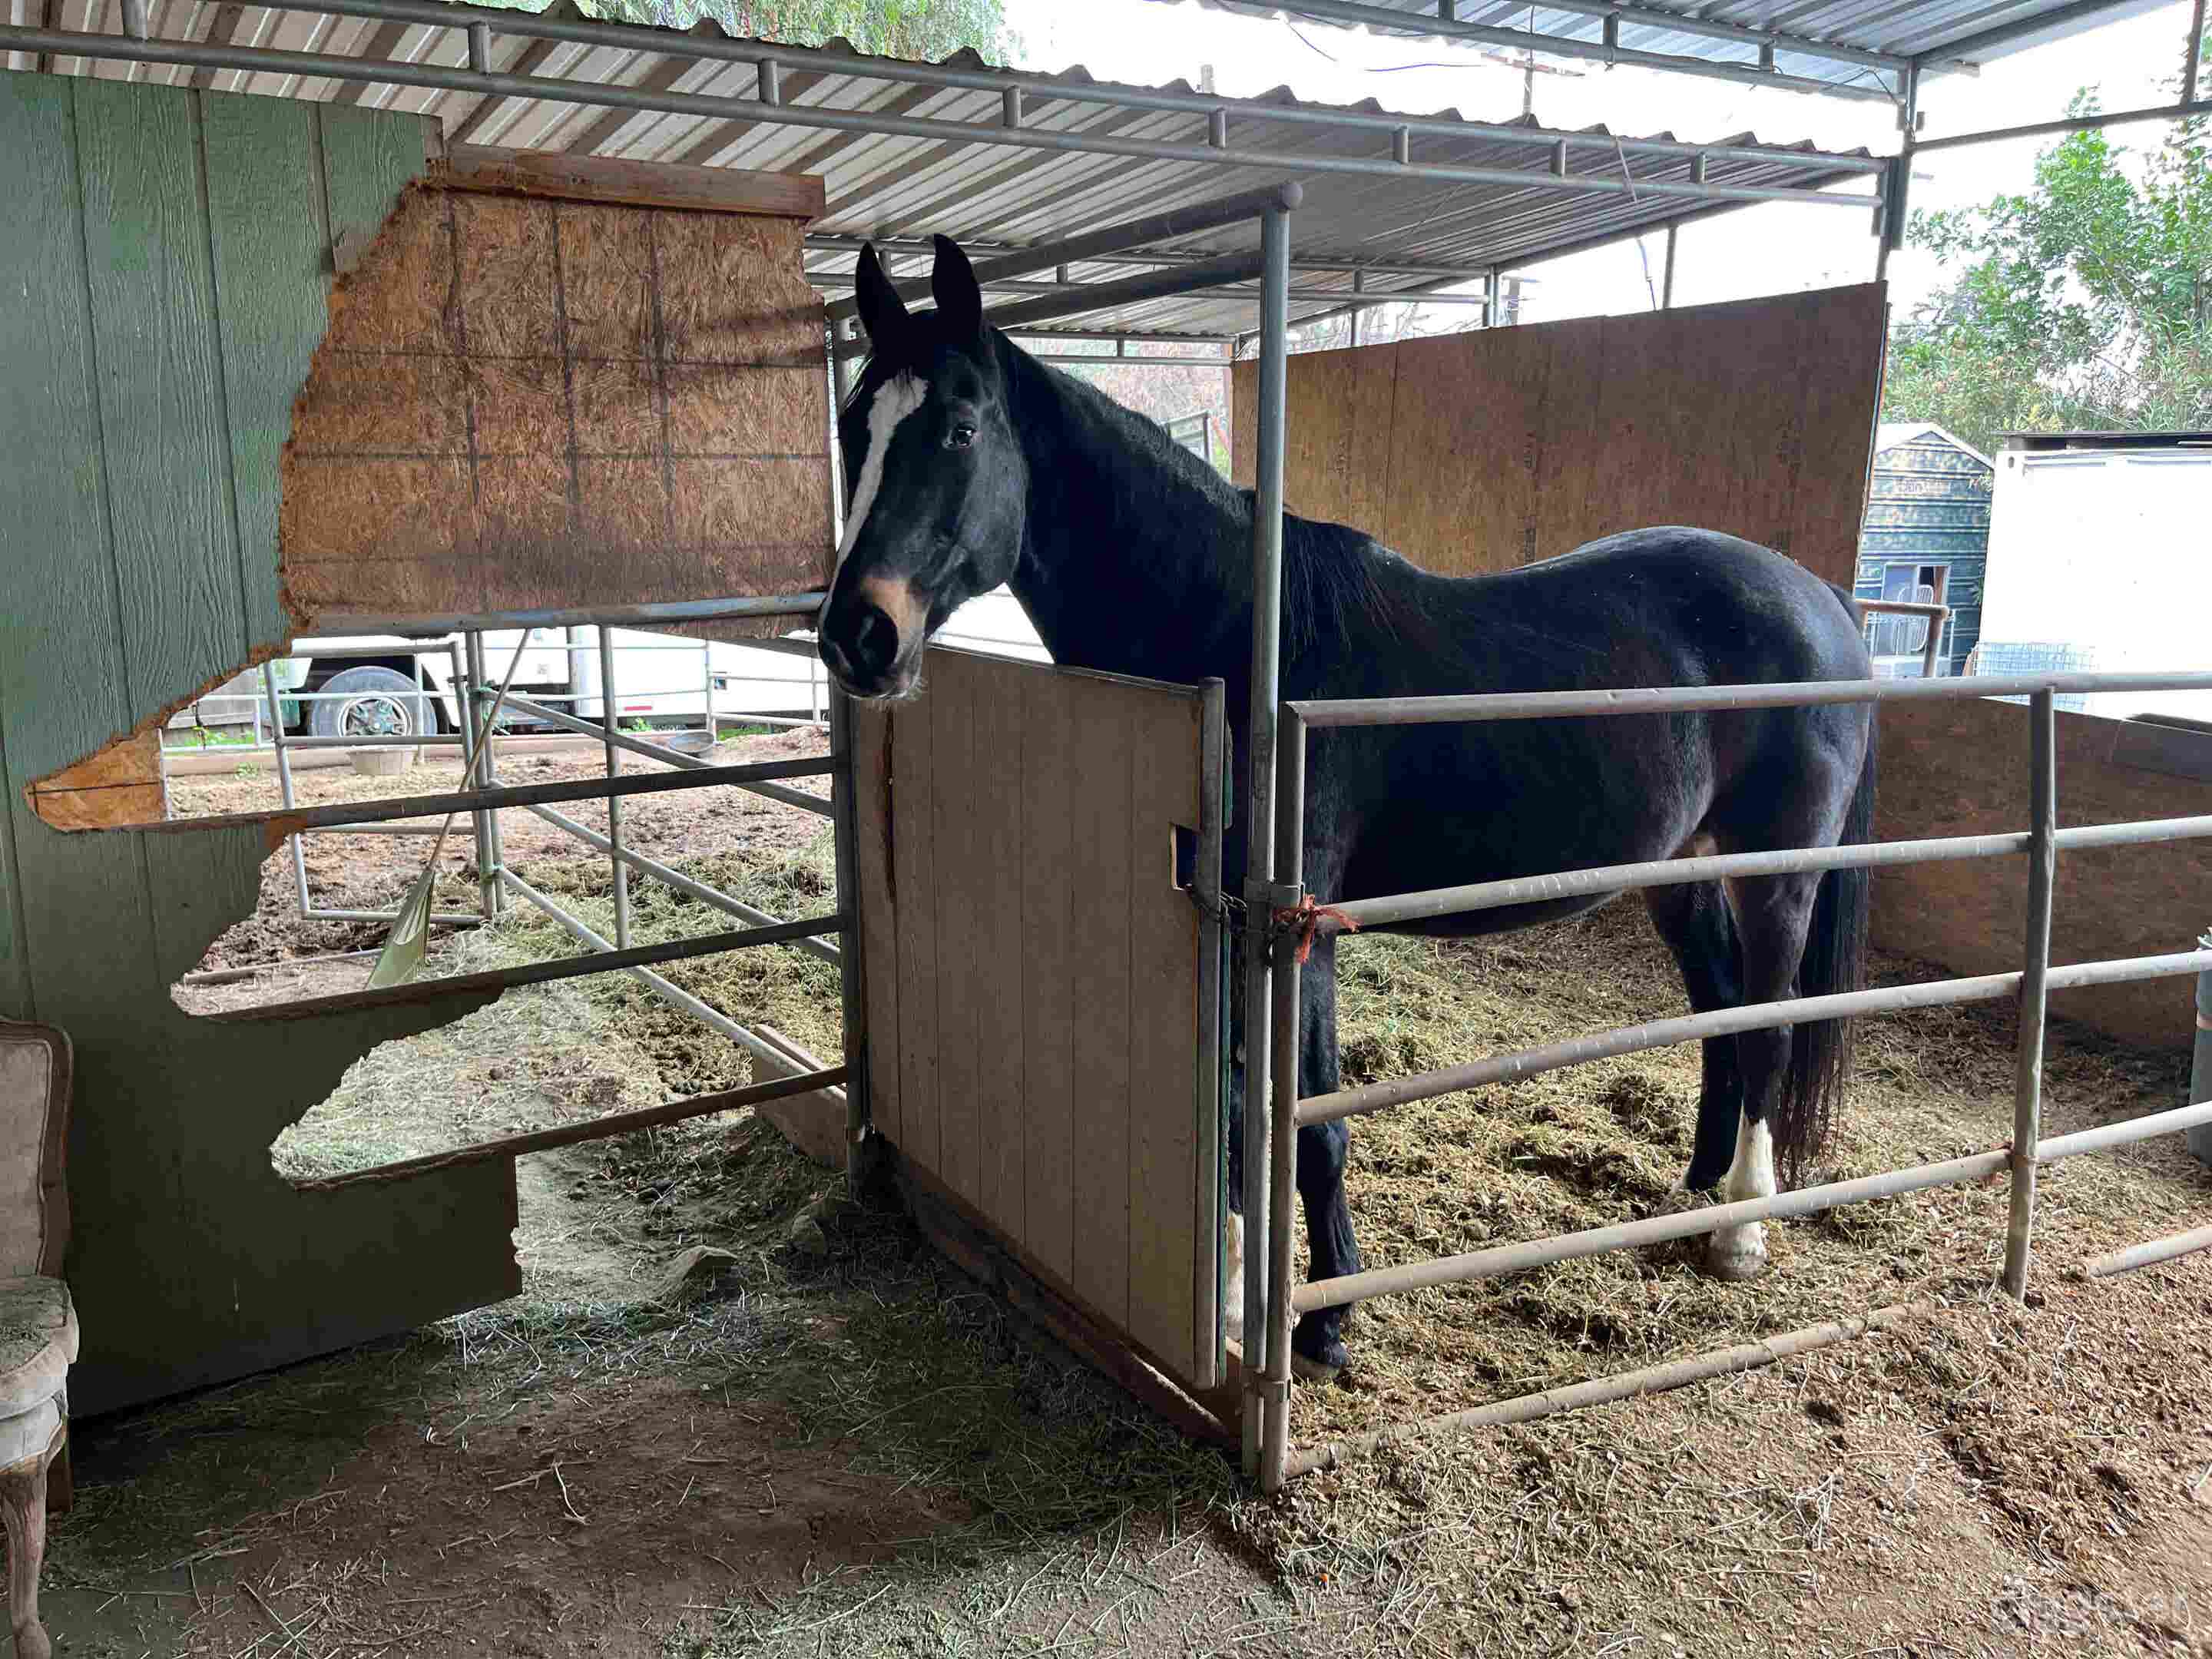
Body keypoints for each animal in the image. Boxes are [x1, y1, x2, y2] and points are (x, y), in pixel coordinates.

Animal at [816, 234, 1877, 1381]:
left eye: (961, 429)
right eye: (855, 426)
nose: (856, 637)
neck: (1246, 636)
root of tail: (1821, 601)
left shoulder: (1302, 932)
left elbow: (1308, 1124)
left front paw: (1321, 1322)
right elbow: (1240, 1119)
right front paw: (1239, 1303)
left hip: (1780, 870)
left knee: (1770, 1023)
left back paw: (1741, 1233)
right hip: (1680, 866)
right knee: (1723, 1011)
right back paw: (1693, 1196)